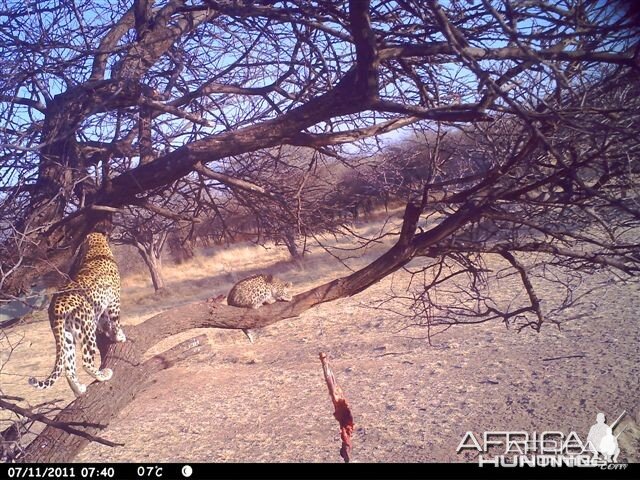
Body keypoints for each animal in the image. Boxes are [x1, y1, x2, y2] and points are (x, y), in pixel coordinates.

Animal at [28, 232, 126, 394]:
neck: (97, 247)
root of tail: (56, 307)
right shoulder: (114, 301)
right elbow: (115, 320)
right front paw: (119, 336)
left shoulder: (101, 306)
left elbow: (105, 321)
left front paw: (110, 333)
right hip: (87, 329)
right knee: (86, 362)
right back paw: (103, 375)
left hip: (66, 336)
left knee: (68, 368)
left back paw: (79, 389)